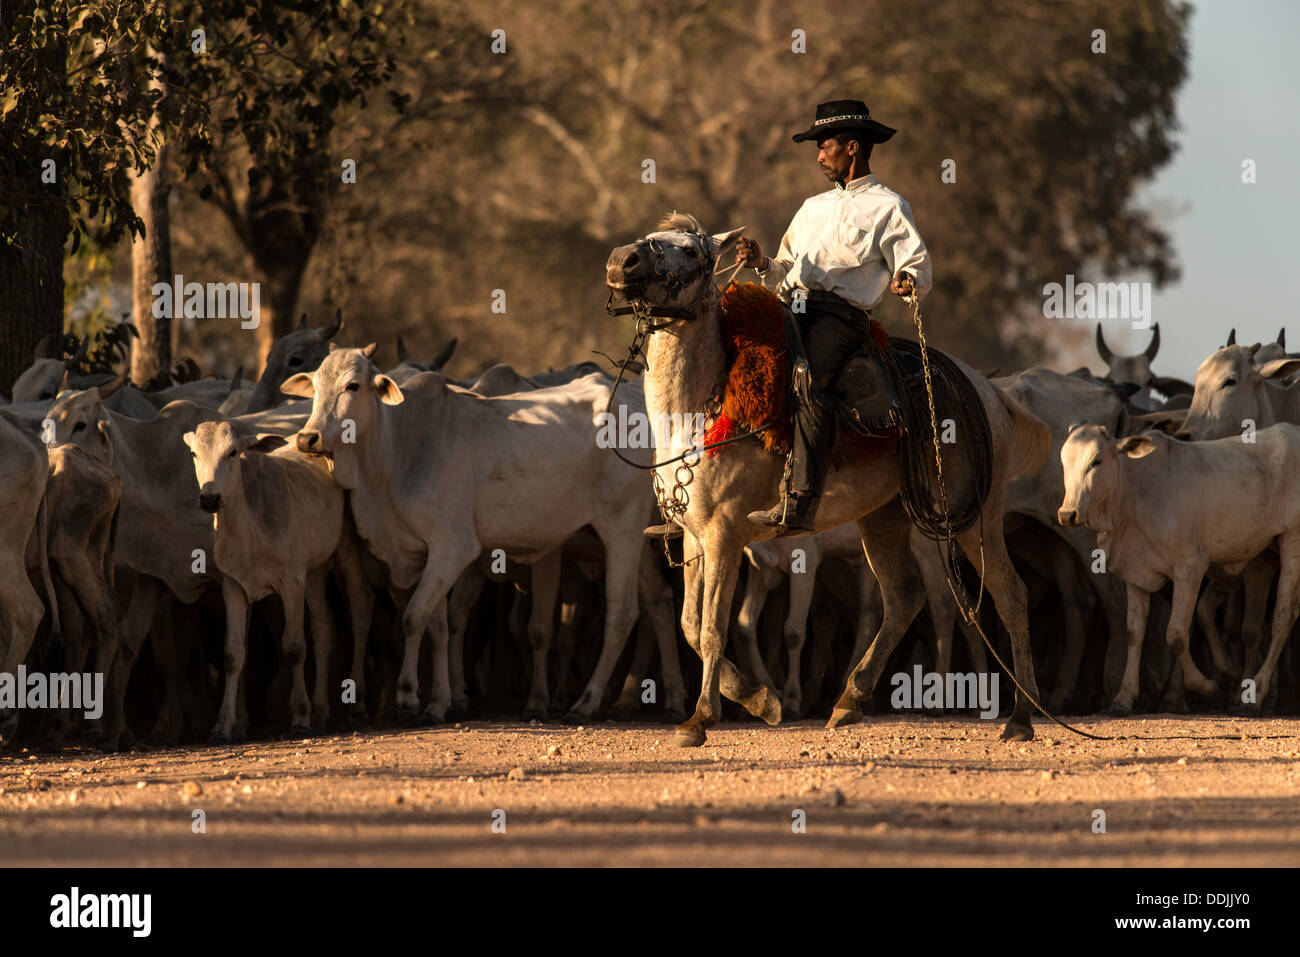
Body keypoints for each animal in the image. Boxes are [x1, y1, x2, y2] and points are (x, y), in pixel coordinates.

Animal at [286, 343, 650, 722]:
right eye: (315, 386)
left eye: (353, 386)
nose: (308, 438)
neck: (398, 451)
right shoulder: (425, 555)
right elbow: (438, 626)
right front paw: (439, 701)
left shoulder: (453, 547)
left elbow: (413, 618)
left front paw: (408, 697)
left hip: (623, 527)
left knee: (622, 614)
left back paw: (587, 701)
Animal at [1060, 423, 1300, 712]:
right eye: (1063, 461)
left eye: (1096, 461)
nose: (1067, 514)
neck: (1135, 490)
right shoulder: (1136, 572)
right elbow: (1134, 631)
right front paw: (1123, 697)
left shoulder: (1190, 566)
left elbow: (1175, 634)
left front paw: (1204, 684)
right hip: (1263, 555)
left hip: (1292, 540)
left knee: (1283, 616)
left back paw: (1256, 694)